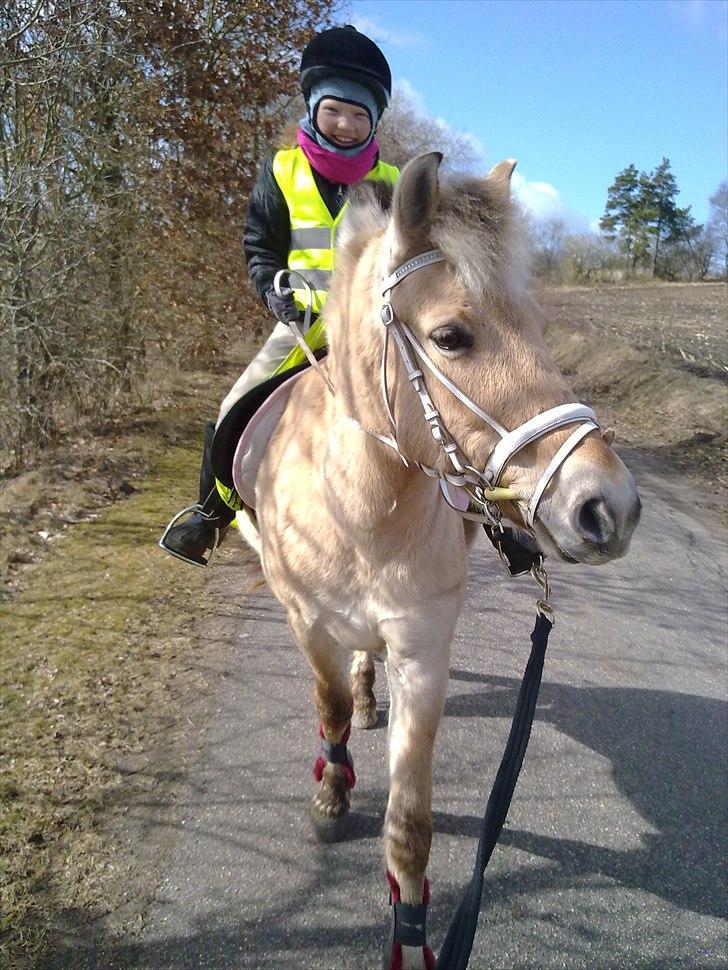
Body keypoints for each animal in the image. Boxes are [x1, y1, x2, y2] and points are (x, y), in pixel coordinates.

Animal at [237, 155, 636, 964]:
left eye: (540, 329)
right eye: (451, 336)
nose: (609, 506)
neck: (359, 511)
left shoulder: (423, 651)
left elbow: (411, 823)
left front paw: (413, 930)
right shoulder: (306, 623)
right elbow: (328, 706)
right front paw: (332, 794)